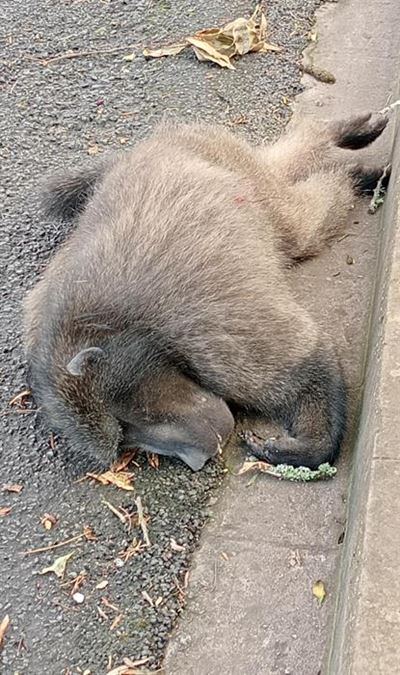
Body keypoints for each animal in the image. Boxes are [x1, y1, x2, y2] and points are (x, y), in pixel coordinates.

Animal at [23, 109, 390, 471]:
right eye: (126, 442)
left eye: (125, 420)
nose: (198, 460)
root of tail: (149, 145)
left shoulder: (204, 334)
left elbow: (305, 361)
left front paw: (309, 447)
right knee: (281, 174)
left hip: (229, 162)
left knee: (298, 222)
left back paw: (348, 160)